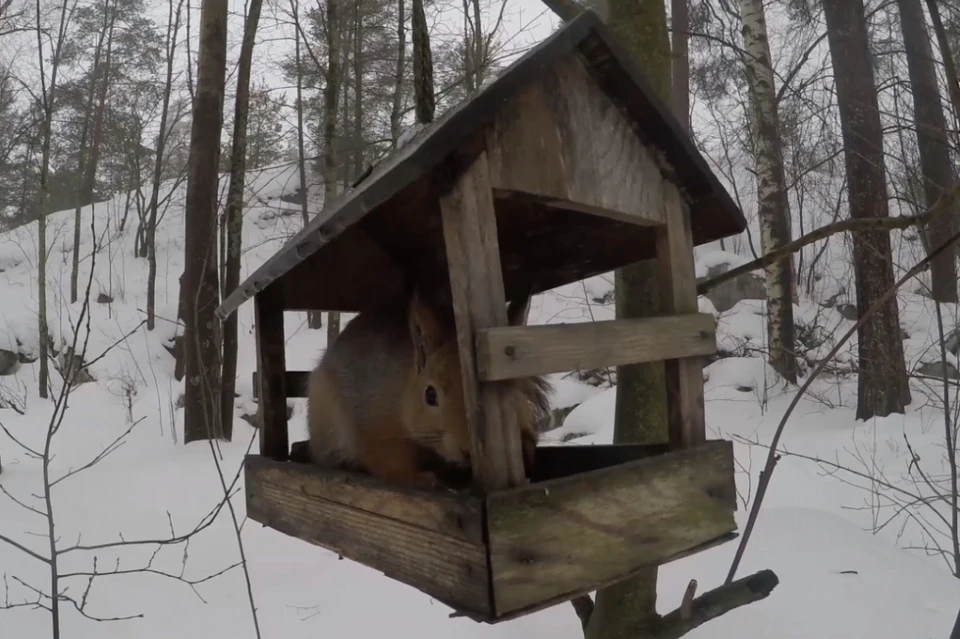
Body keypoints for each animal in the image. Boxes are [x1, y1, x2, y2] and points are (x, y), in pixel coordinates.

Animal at [304, 290, 552, 490]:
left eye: (516, 391)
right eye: (430, 395)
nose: (468, 451)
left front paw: (527, 448)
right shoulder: (372, 422)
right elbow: (386, 461)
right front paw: (418, 478)